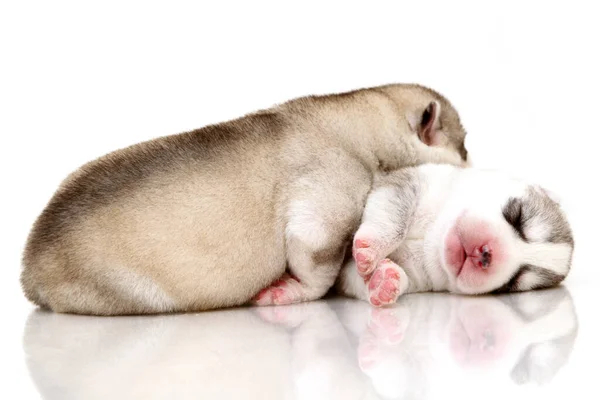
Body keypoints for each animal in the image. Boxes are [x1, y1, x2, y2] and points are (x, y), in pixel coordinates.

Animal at [19, 84, 468, 316]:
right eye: (463, 146)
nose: (471, 162)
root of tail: (28, 273)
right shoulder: (322, 218)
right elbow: (318, 272)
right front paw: (290, 291)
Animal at [336, 163, 576, 306]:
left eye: (513, 283)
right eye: (518, 216)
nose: (485, 254)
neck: (432, 238)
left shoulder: (416, 277)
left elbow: (355, 277)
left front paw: (384, 280)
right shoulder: (408, 180)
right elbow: (394, 213)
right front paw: (371, 247)